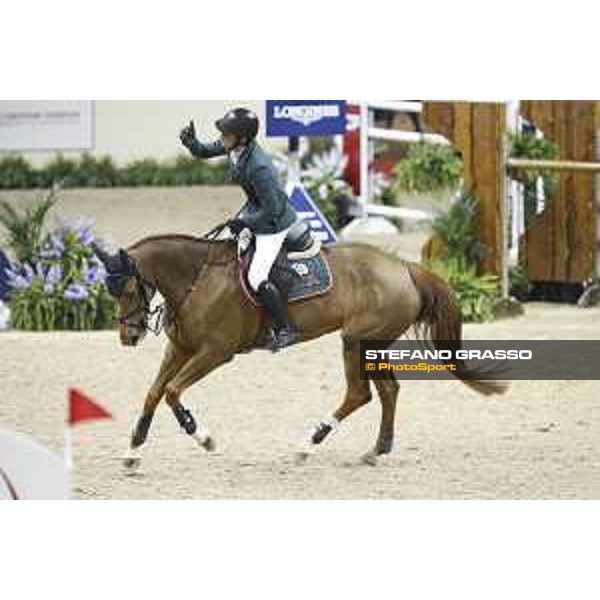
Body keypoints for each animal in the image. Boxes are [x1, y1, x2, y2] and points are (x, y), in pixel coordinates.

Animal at [94, 232, 506, 472]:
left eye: (128, 289)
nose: (128, 336)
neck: (198, 279)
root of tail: (404, 267)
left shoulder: (215, 351)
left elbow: (172, 391)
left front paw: (203, 436)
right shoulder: (180, 348)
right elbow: (154, 392)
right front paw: (133, 451)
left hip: (355, 340)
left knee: (360, 393)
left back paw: (308, 444)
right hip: (371, 344)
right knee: (387, 391)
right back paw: (376, 450)